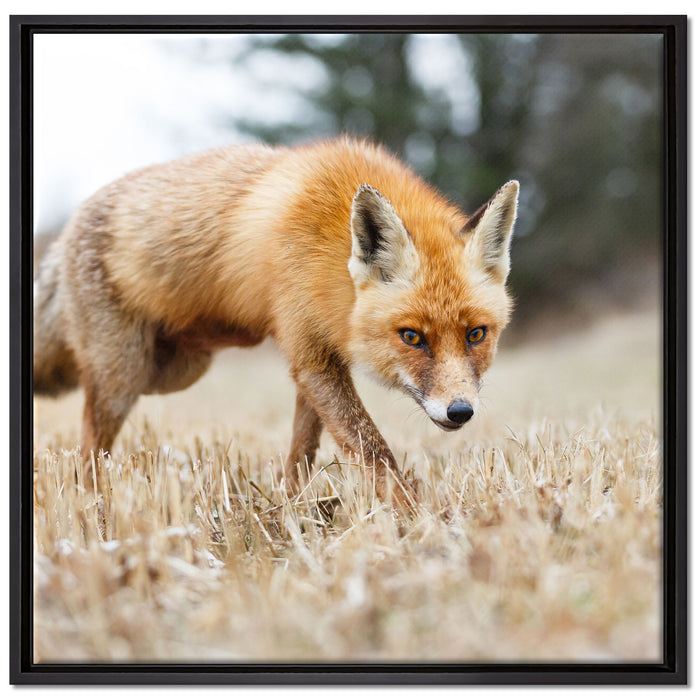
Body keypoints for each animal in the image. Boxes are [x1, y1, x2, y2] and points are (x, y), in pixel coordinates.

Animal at [33, 137, 518, 509]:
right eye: (412, 337)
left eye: (476, 334)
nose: (460, 411)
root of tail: (66, 230)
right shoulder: (310, 354)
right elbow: (373, 450)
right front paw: (416, 520)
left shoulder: (319, 358)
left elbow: (302, 451)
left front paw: (291, 507)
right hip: (124, 377)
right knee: (88, 445)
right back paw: (92, 503)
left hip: (174, 370)